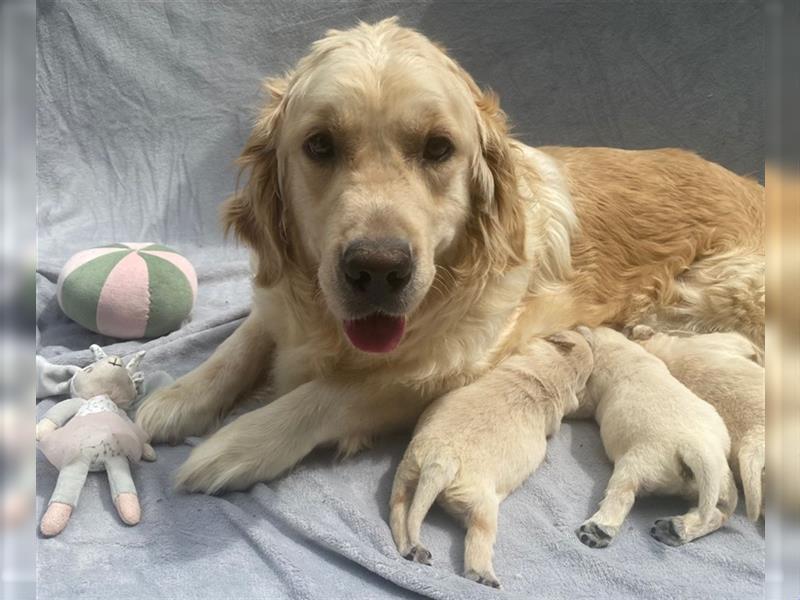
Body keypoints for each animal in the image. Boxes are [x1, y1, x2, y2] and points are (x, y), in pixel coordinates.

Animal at [134, 18, 764, 494]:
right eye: (319, 145)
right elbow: (239, 344)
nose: (378, 269)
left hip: (702, 296)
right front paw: (178, 397)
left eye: (438, 148)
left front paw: (239, 443)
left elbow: (327, 393)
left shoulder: (445, 367)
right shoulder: (277, 296)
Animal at [390, 328, 592, 584]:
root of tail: (442, 459)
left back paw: (411, 548)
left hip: (408, 472)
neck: (548, 373)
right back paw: (483, 576)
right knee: (478, 539)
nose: (586, 331)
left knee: (400, 510)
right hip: (481, 506)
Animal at [576, 328, 736, 548]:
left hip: (638, 464)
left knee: (622, 495)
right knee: (717, 513)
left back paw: (598, 529)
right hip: (721, 481)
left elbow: (583, 403)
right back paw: (675, 528)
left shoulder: (592, 391)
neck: (622, 348)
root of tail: (696, 447)